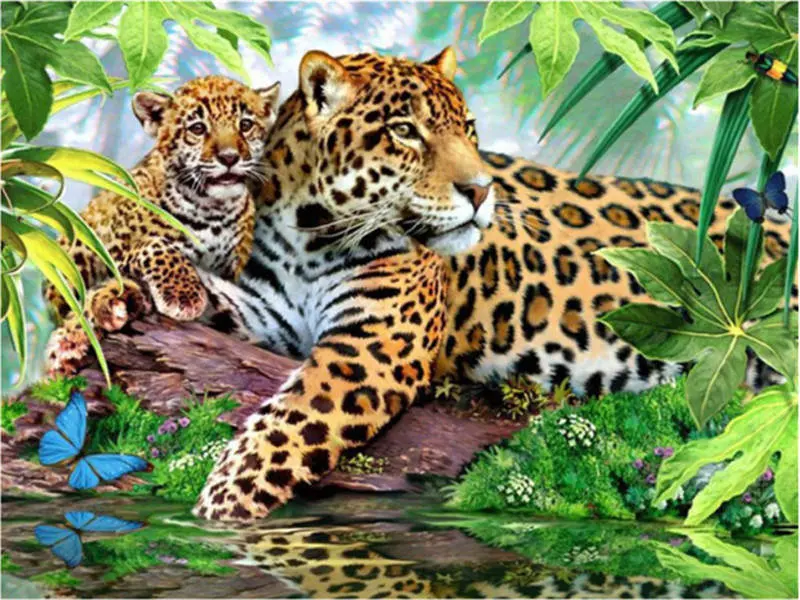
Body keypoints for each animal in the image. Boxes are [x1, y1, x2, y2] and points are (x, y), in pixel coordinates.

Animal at [45, 75, 281, 375]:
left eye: (246, 125)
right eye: (197, 128)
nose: (229, 158)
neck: (212, 209)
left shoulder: (232, 272)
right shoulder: (112, 252)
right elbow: (156, 245)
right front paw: (184, 296)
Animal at [183, 48, 790, 521]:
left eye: (468, 132)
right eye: (405, 132)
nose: (480, 190)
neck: (308, 236)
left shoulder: (374, 347)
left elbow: (288, 426)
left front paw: (218, 507)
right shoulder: (269, 314)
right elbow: (210, 302)